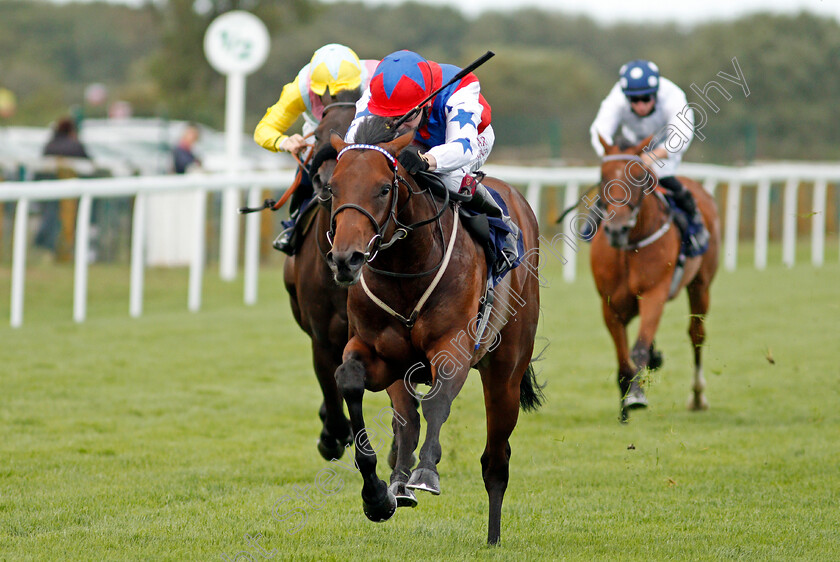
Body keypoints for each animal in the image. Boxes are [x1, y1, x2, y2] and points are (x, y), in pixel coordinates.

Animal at [322, 117, 544, 544]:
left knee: (496, 460)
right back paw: (398, 484)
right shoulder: (379, 354)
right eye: (333, 188)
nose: (346, 259)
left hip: (505, 372)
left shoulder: (453, 347)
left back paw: (493, 537)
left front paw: (426, 472)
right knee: (406, 419)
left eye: (384, 188)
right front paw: (376, 496)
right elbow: (350, 381)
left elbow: (438, 402)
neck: (406, 267)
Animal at [592, 136, 720, 422]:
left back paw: (698, 396)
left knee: (696, 334)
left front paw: (636, 396)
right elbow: (623, 358)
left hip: (701, 286)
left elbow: (638, 348)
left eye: (639, 176)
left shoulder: (654, 294)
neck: (630, 246)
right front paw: (624, 407)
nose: (616, 229)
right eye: (603, 177)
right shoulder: (610, 306)